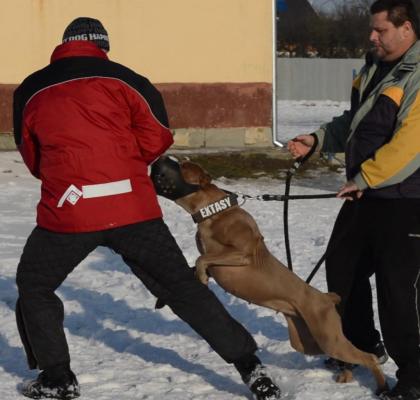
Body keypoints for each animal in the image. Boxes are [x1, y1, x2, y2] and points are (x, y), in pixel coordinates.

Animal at [171, 159, 388, 394]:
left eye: (184, 167)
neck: (214, 212)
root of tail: (325, 297)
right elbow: (201, 258)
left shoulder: (243, 253)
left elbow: (202, 258)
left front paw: (202, 276)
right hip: (309, 340)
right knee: (346, 355)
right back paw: (346, 375)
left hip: (328, 337)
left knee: (368, 357)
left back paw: (382, 387)